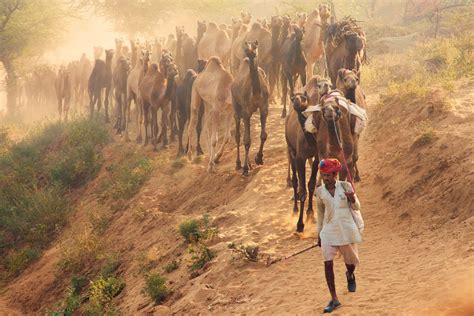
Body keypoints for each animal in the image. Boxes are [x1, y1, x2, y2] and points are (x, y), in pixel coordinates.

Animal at [231, 40, 268, 175]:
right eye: (246, 47)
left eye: (256, 46)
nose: (250, 52)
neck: (256, 92)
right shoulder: (246, 111)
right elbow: (246, 140)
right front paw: (245, 168)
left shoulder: (264, 108)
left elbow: (263, 135)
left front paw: (259, 158)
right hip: (237, 107)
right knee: (238, 135)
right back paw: (238, 164)